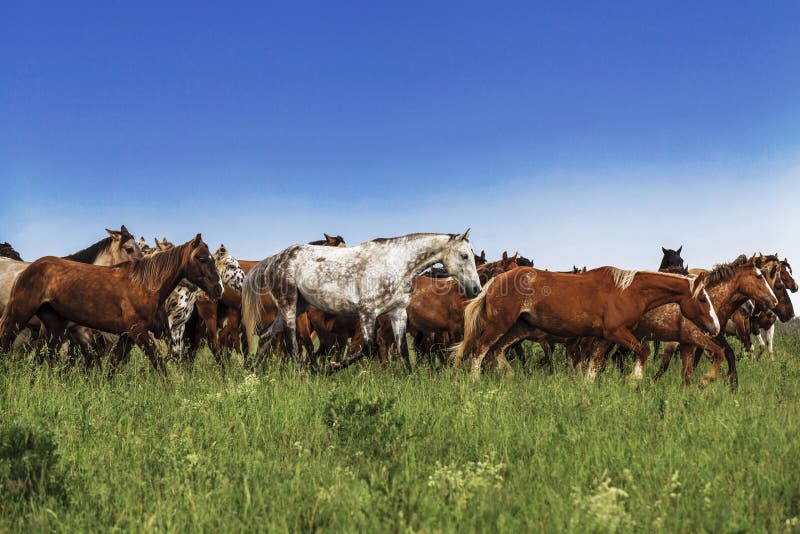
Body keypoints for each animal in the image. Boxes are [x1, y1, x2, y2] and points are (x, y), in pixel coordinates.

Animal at [0, 237, 222, 370]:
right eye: (202, 258)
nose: (218, 288)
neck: (144, 284)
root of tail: (29, 269)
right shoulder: (137, 332)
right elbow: (158, 362)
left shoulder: (127, 336)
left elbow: (113, 365)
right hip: (20, 316)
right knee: (7, 339)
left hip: (55, 328)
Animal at [241, 230, 482, 372]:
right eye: (464, 256)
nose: (476, 289)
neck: (395, 263)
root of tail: (275, 258)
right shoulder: (367, 313)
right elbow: (367, 348)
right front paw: (332, 367)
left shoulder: (398, 313)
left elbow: (403, 351)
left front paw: (409, 378)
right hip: (290, 307)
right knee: (292, 344)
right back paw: (307, 373)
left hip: (296, 307)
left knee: (265, 337)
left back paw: (251, 371)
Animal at [450, 266, 720, 382]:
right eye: (702, 299)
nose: (715, 327)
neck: (628, 291)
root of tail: (495, 281)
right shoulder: (616, 332)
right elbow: (642, 352)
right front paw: (635, 381)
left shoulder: (603, 337)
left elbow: (594, 364)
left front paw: (587, 388)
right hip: (501, 324)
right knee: (480, 349)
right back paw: (475, 381)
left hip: (519, 327)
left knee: (496, 350)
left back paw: (508, 377)